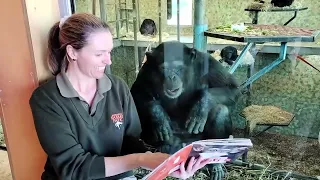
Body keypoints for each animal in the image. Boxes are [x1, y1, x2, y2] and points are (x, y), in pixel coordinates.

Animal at [130, 41, 240, 180]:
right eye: (164, 68)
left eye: (178, 68)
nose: (171, 77)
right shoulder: (147, 68)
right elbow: (137, 90)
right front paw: (159, 116)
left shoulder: (208, 63)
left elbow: (231, 88)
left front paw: (200, 107)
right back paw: (165, 148)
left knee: (221, 110)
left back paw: (215, 164)